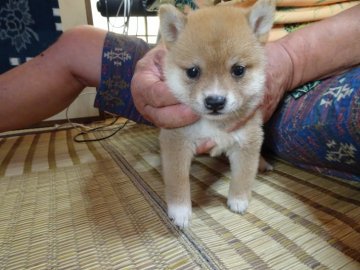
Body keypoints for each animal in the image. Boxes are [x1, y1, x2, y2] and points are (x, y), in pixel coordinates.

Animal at [159, 0, 274, 228]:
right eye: (193, 71)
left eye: (238, 70)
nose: (215, 101)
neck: (214, 125)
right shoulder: (176, 140)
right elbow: (177, 180)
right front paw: (180, 211)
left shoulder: (246, 140)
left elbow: (243, 175)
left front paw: (238, 200)